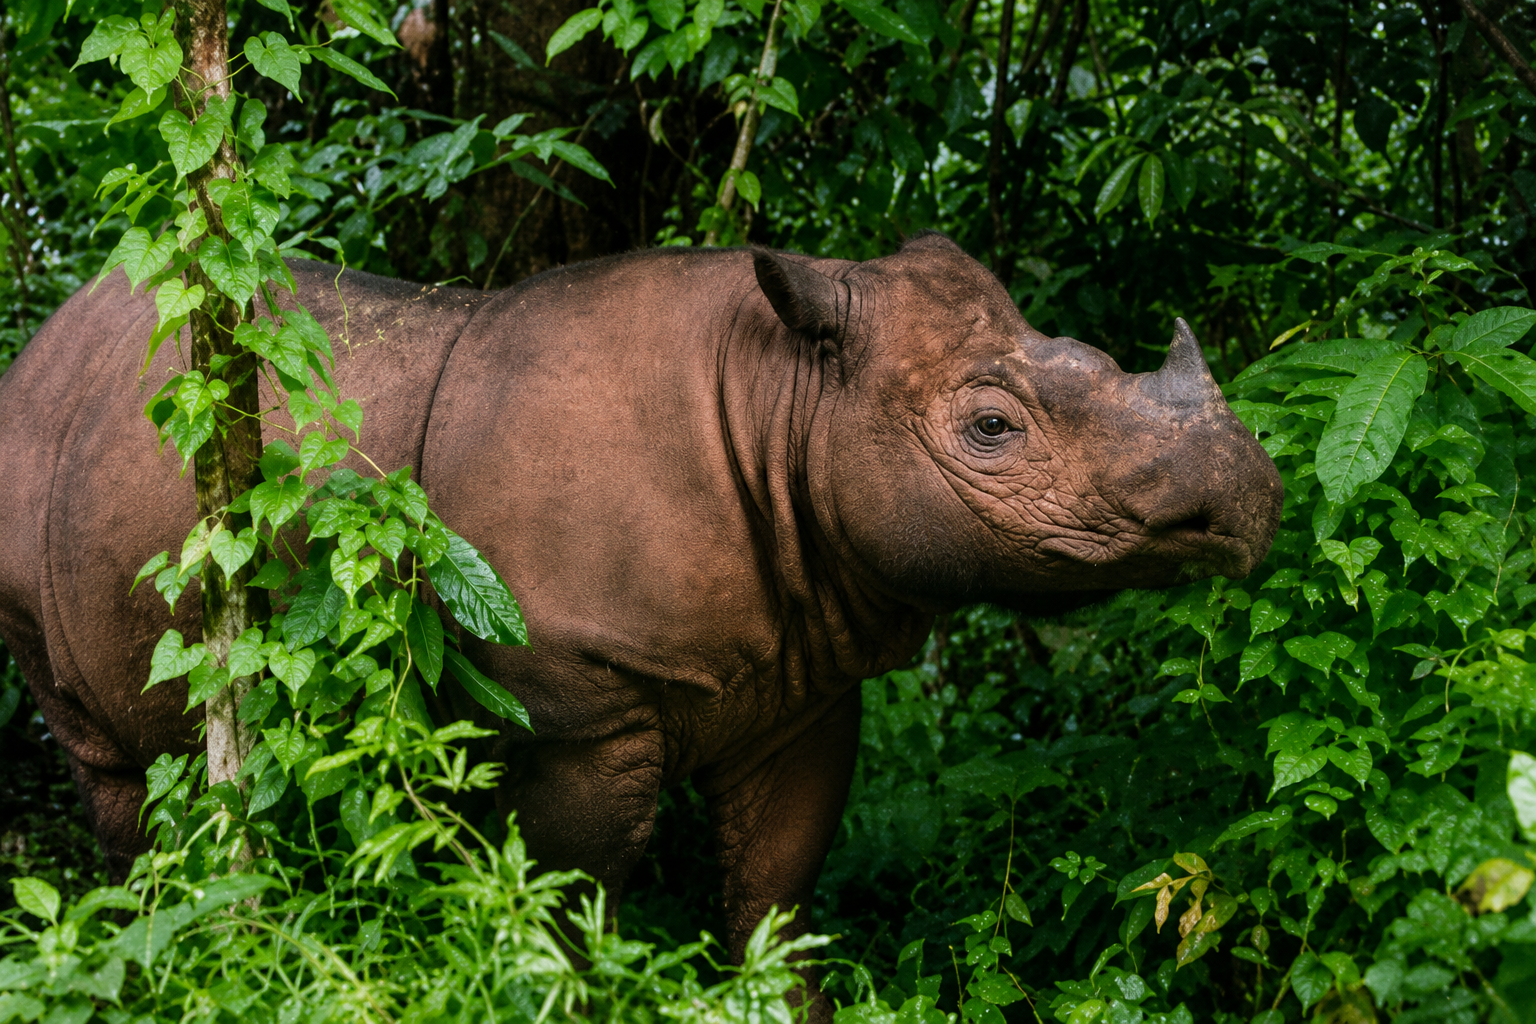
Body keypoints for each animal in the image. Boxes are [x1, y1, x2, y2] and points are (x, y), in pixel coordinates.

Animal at [0, 233, 1279, 989]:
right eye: (992, 428)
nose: (1250, 498)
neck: (787, 394)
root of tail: (39, 349)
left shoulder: (803, 681)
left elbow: (776, 891)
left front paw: (776, 1000)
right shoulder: (582, 703)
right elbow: (576, 899)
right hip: (37, 487)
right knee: (125, 773)